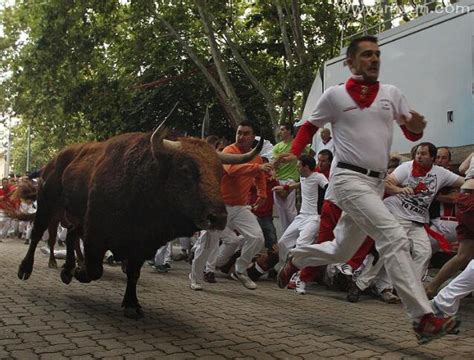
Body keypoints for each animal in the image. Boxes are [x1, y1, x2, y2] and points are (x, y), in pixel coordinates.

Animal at [17, 129, 262, 318]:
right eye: (185, 169)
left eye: (220, 173)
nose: (218, 217)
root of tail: (55, 160)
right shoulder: (96, 234)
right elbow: (95, 269)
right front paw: (80, 271)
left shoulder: (141, 243)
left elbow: (133, 273)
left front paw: (132, 305)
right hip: (48, 206)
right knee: (39, 234)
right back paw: (27, 270)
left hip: (74, 217)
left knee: (70, 236)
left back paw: (67, 270)